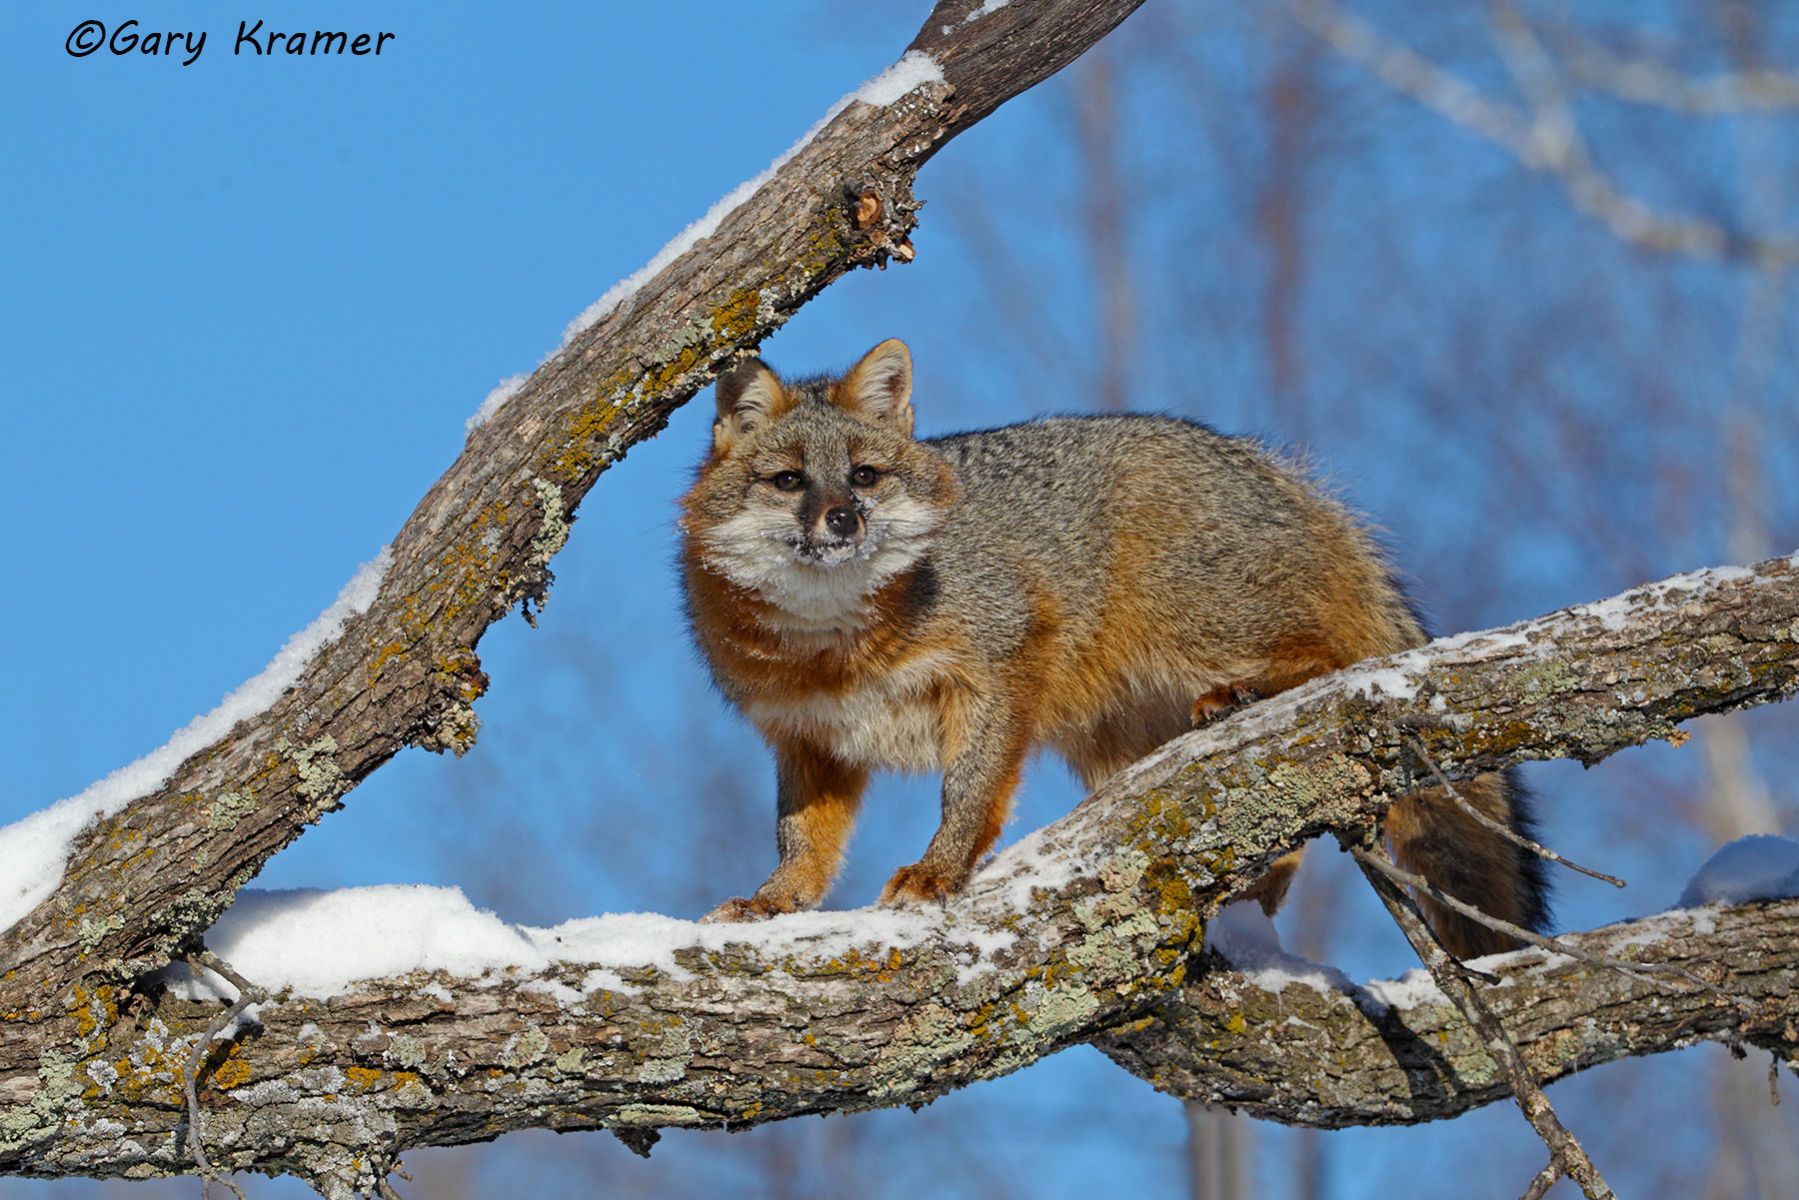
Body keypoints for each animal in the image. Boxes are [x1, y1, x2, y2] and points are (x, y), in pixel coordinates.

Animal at [679, 338, 1549, 957]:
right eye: (789, 481)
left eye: (863, 476)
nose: (842, 520)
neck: (833, 642)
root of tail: (1282, 474)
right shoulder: (809, 738)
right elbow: (802, 841)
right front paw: (776, 900)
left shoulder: (1000, 663)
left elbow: (968, 793)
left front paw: (938, 870)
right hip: (1113, 740)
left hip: (1193, 623)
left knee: (1343, 663)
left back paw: (1250, 693)